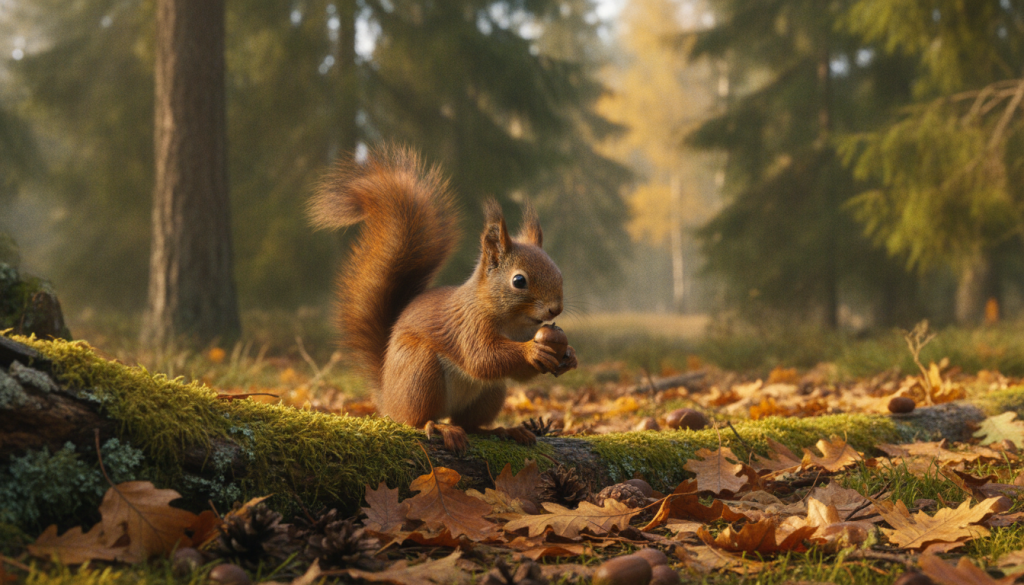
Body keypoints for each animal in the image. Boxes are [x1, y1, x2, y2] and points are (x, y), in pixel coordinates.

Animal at [308, 145, 577, 452]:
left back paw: (504, 430)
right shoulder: (468, 326)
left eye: (558, 271)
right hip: (420, 373)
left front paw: (569, 356)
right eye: (519, 281)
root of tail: (388, 398)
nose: (556, 309)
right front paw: (533, 351)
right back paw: (439, 427)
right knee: (415, 420)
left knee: (471, 424)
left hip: (490, 392)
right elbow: (482, 357)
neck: (515, 324)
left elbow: (516, 372)